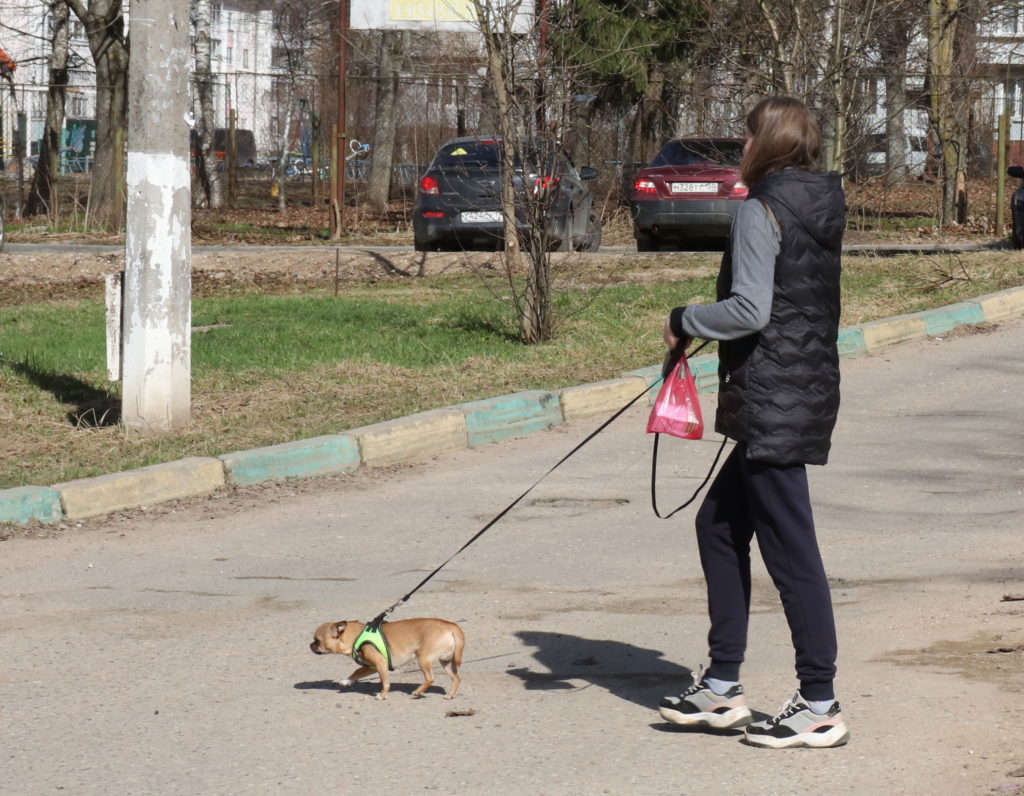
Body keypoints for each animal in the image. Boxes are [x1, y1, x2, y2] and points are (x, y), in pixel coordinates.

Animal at [305, 618, 462, 700]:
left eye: (317, 641)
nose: (310, 645)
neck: (357, 636)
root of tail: (451, 626)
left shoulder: (380, 663)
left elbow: (385, 682)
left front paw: (382, 695)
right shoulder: (371, 666)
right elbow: (357, 671)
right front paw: (347, 681)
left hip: (423, 659)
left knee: (430, 678)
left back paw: (418, 692)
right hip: (446, 662)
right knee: (456, 678)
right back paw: (450, 695)